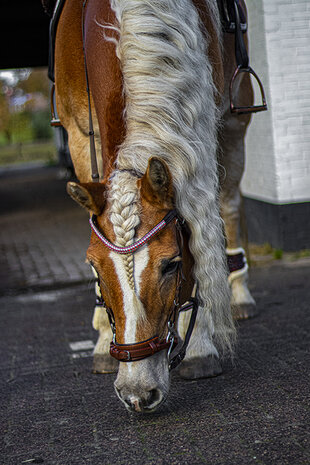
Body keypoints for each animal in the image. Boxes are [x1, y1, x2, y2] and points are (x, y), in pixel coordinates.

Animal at [48, 0, 258, 414]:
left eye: (172, 264)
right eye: (94, 267)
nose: (137, 392)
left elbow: (203, 233)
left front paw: (199, 344)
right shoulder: (78, 132)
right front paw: (102, 336)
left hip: (233, 121)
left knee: (229, 202)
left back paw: (239, 291)